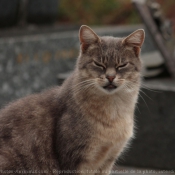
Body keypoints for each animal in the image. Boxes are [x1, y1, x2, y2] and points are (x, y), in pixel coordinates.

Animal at [0, 25, 144, 174]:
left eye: (122, 65)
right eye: (98, 64)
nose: (110, 77)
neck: (114, 111)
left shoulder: (107, 161)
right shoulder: (75, 159)